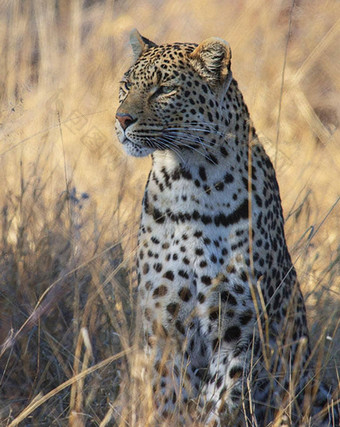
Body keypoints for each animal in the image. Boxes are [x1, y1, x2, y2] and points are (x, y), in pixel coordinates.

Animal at [114, 28, 338, 426]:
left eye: (164, 89)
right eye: (125, 85)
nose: (122, 118)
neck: (187, 179)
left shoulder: (240, 329)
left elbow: (217, 402)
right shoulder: (163, 323)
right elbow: (169, 395)